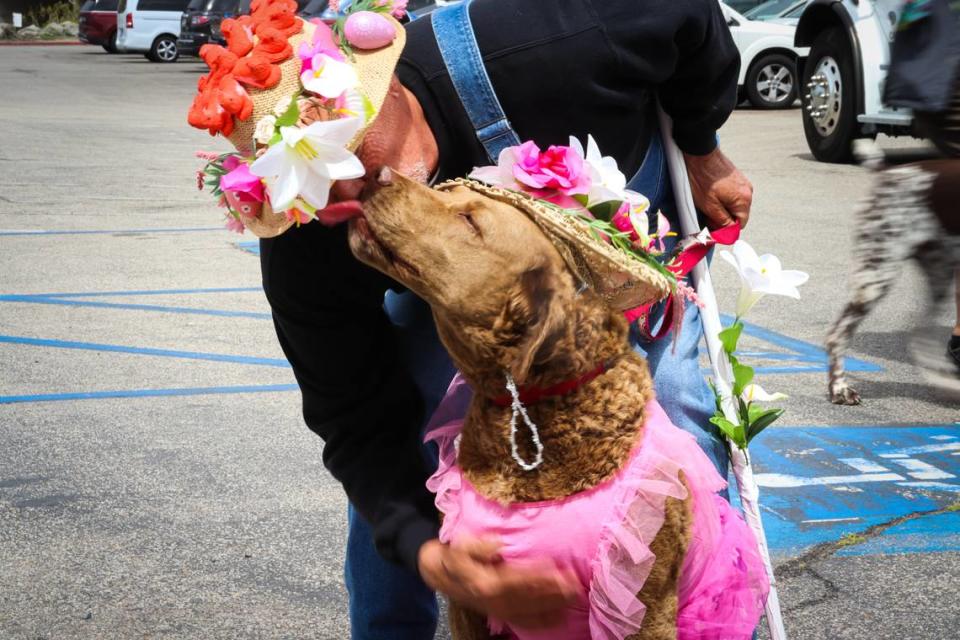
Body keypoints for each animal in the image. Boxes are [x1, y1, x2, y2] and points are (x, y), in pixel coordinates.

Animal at [824, 141, 960, 404]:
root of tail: (888, 172)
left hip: (940, 275)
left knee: (920, 337)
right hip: (876, 275)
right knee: (837, 335)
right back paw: (840, 388)